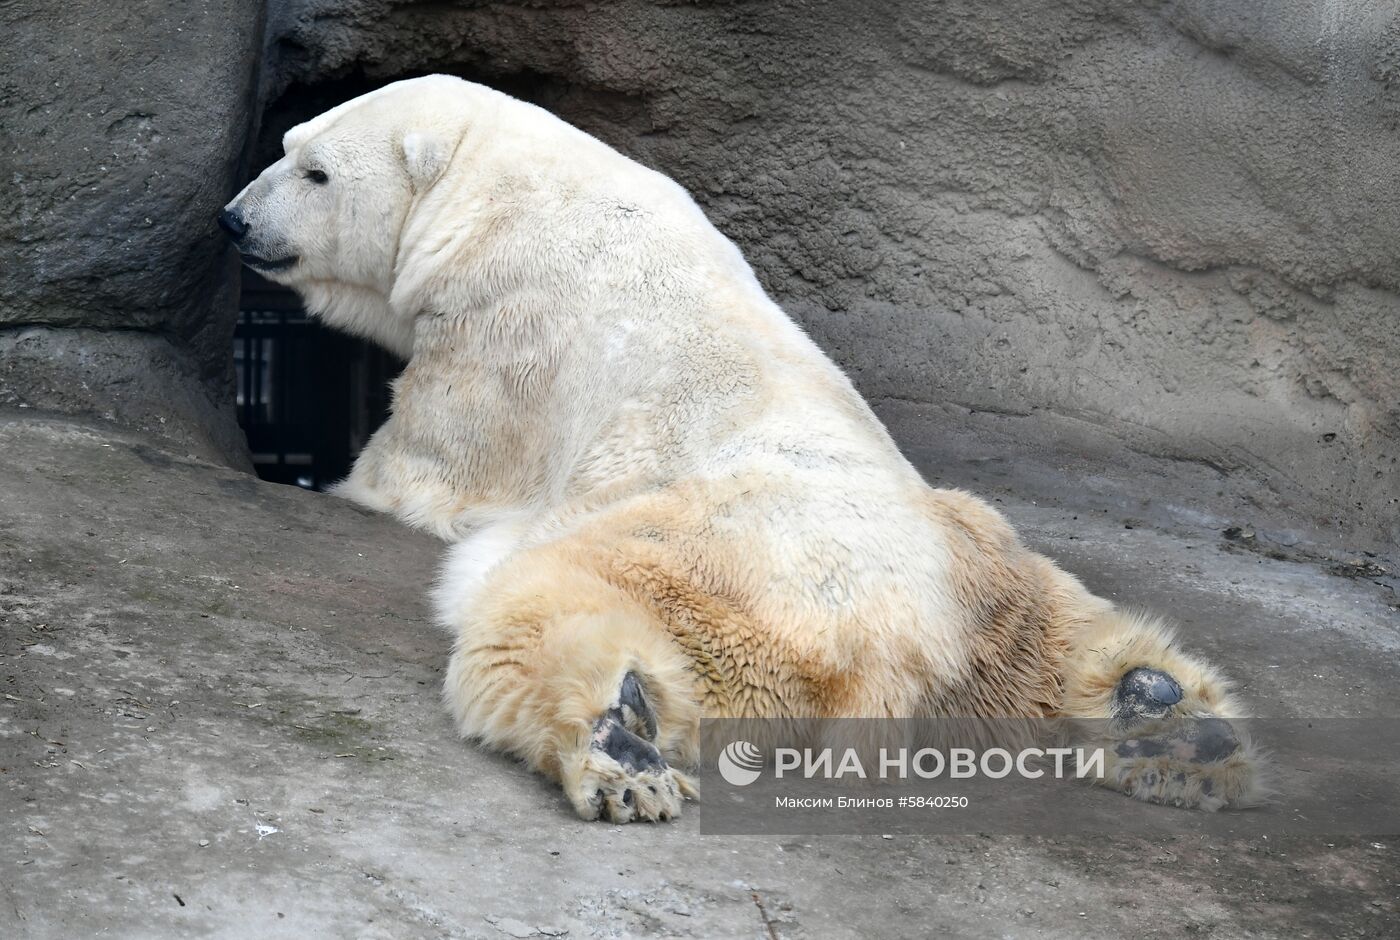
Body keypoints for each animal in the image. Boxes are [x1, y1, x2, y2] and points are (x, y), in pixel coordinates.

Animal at [221, 75, 1271, 823]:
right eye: (285, 146)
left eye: (315, 173)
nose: (234, 219)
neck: (501, 185)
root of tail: (901, 649)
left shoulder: (496, 326)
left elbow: (422, 467)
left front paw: (355, 481)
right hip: (987, 573)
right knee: (1066, 637)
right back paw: (1170, 725)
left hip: (725, 555)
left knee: (554, 597)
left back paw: (620, 746)